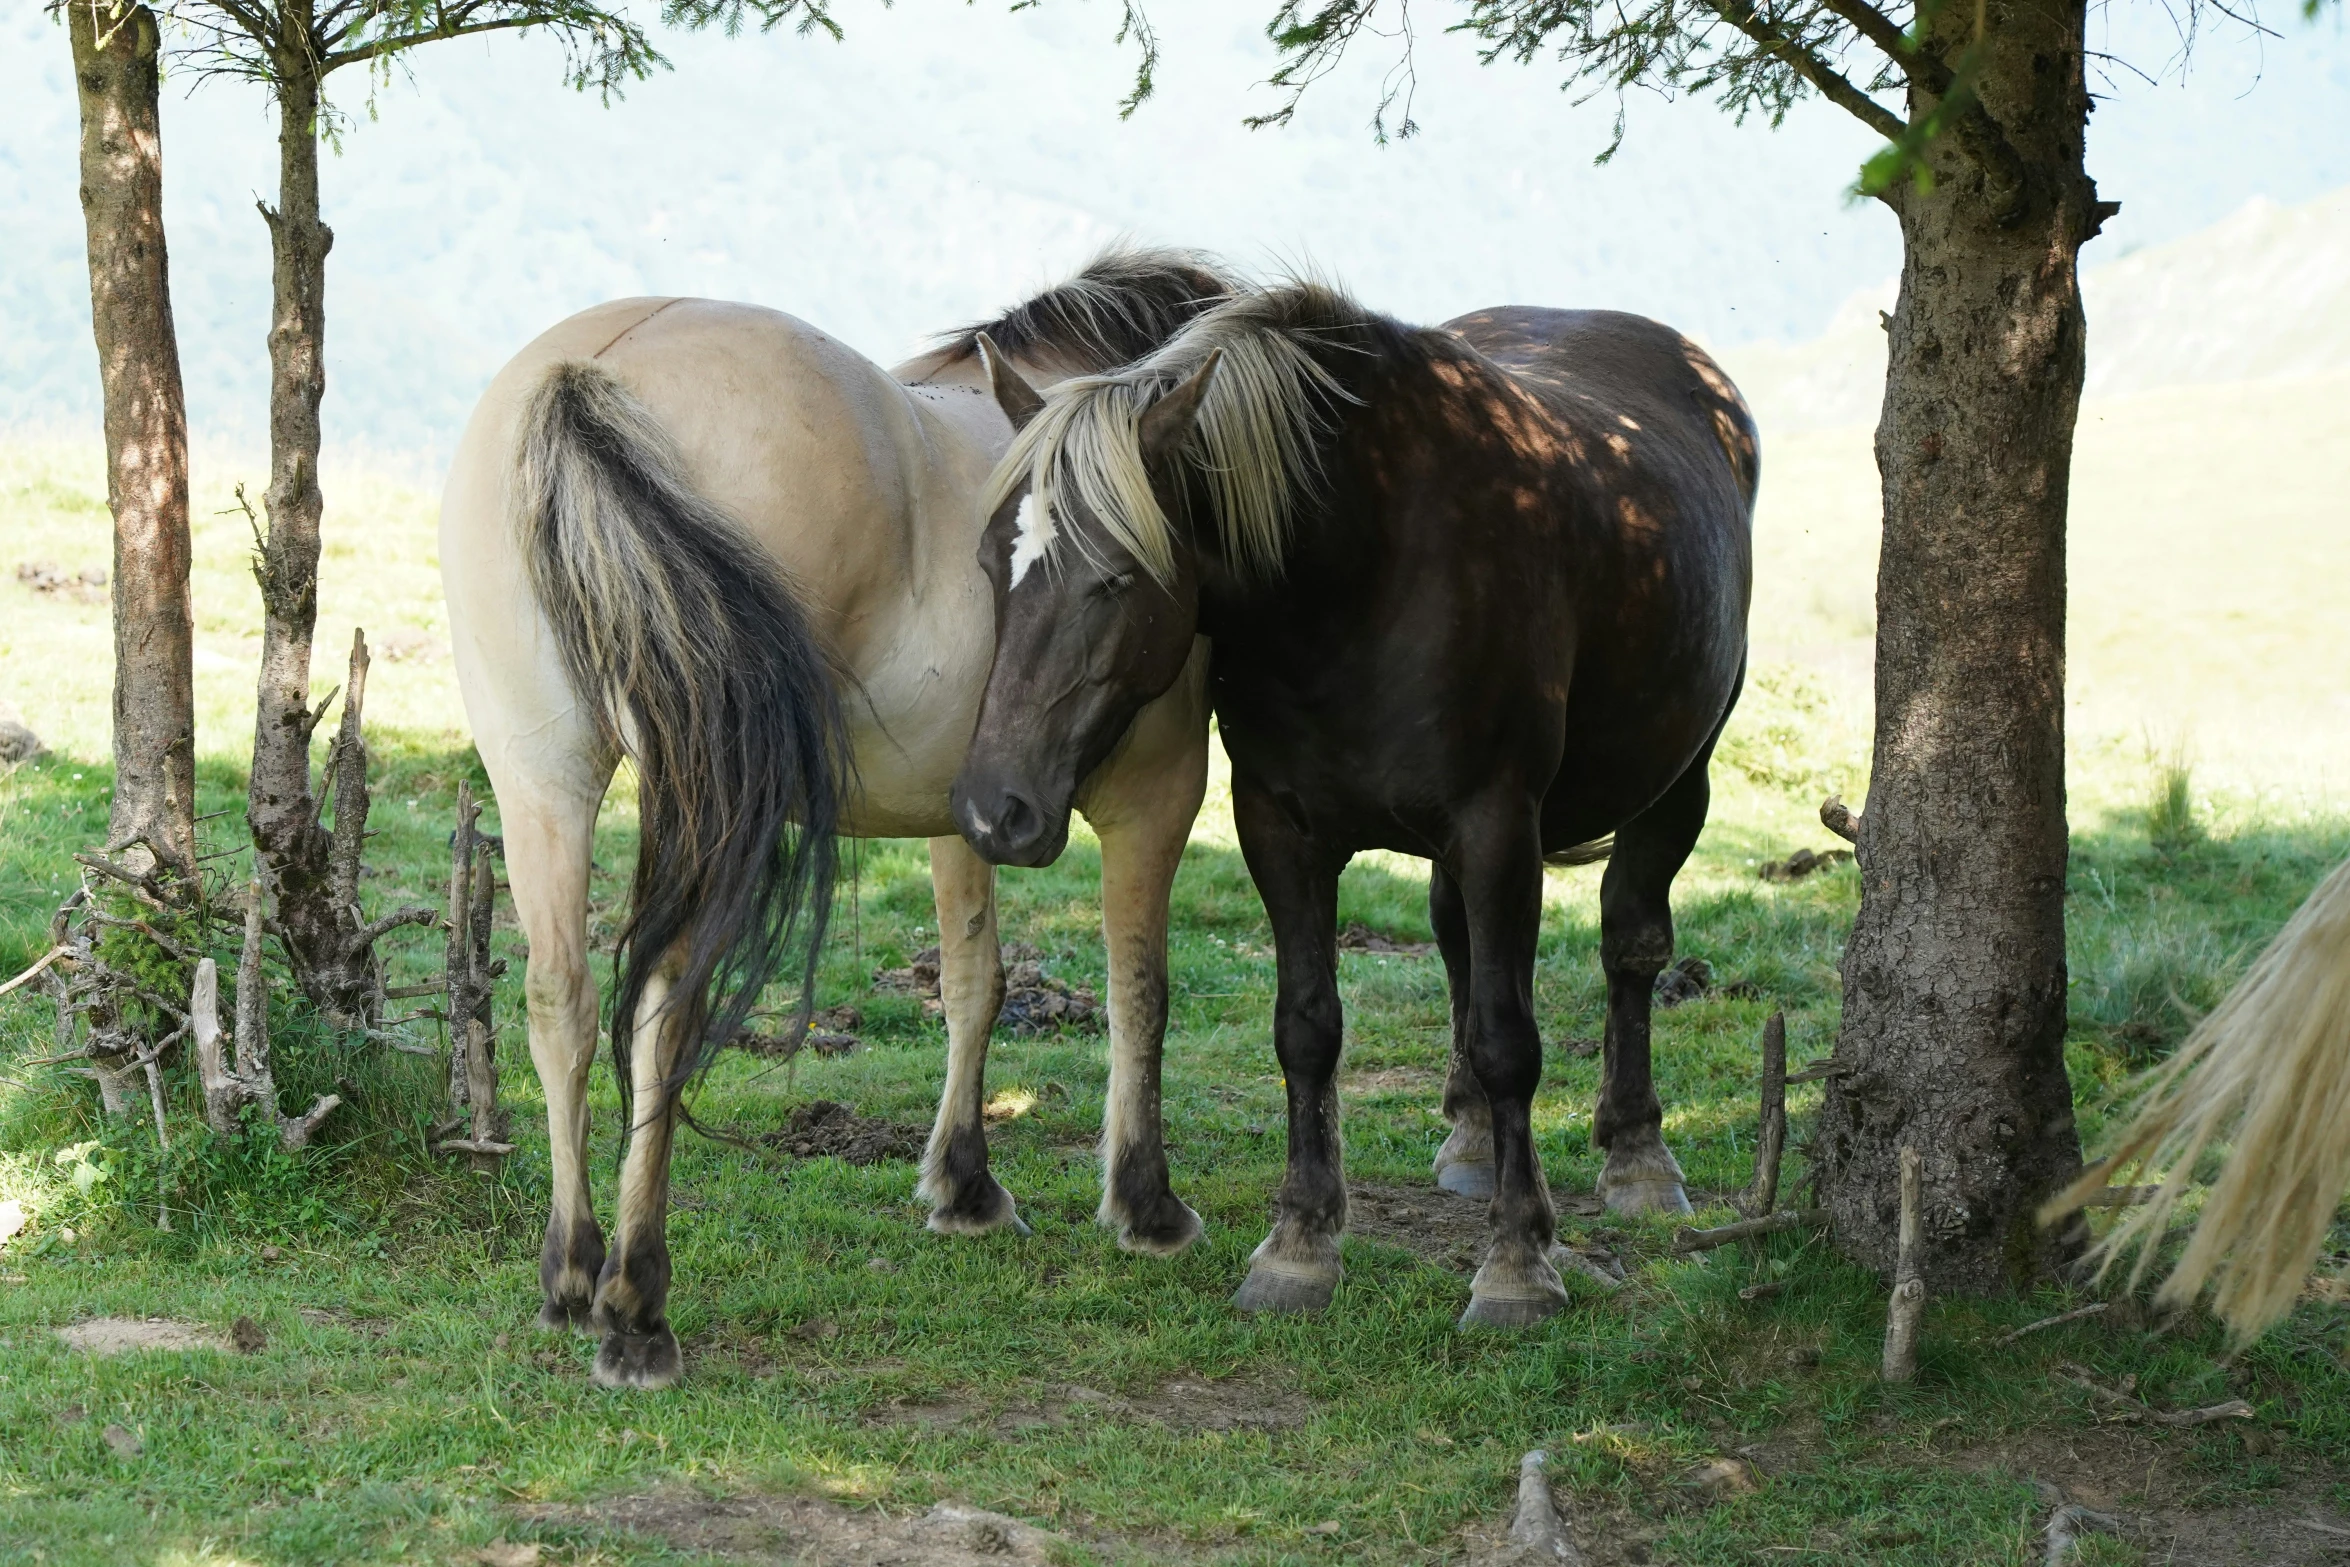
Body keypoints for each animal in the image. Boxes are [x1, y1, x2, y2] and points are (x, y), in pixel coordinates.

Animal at [446, 251, 1240, 1390]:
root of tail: (584, 375)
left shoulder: (965, 811)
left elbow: (972, 983)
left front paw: (962, 1184)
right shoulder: (1156, 793)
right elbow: (1142, 994)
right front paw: (1144, 1203)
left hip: (539, 776)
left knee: (563, 1000)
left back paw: (571, 1269)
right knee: (664, 1011)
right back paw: (636, 1302)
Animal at [944, 281, 1757, 1325]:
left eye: (1115, 576)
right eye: (987, 563)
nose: (991, 812)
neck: (1366, 570)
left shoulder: (1499, 824)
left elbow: (1510, 1039)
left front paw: (1519, 1261)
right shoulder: (1279, 827)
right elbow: (1308, 1027)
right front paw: (1299, 1243)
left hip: (1676, 782)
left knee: (1631, 947)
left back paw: (1638, 1154)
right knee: (1458, 945)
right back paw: (1470, 1139)